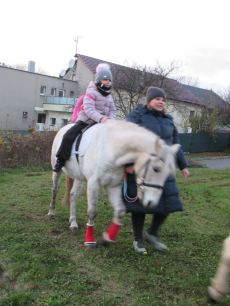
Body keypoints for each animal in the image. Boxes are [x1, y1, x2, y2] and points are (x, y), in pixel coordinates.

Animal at [47, 120, 180, 247]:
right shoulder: (93, 184)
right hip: (57, 170)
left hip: (78, 177)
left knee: (73, 195)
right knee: (55, 189)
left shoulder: (113, 186)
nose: (152, 203)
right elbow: (92, 212)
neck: (111, 150)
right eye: (156, 169)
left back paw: (73, 223)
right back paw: (51, 213)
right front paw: (90, 241)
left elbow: (120, 211)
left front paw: (107, 238)